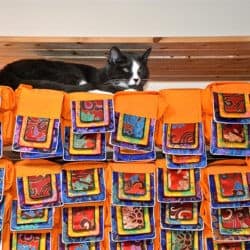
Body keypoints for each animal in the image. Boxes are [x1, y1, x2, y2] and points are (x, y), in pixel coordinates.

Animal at [0, 46, 151, 93]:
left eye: (140, 70)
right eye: (125, 69)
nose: (136, 79)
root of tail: (6, 69)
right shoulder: (101, 82)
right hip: (62, 70)